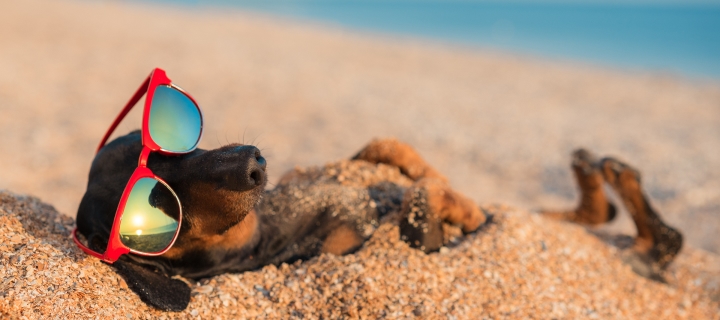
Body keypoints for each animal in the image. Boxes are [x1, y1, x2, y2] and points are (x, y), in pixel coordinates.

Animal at [76, 132, 684, 310]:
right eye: (164, 206)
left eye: (173, 151)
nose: (255, 162)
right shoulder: (416, 243)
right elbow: (421, 207)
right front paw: (453, 205)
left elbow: (391, 153)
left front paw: (409, 165)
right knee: (664, 238)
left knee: (612, 217)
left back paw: (601, 169)